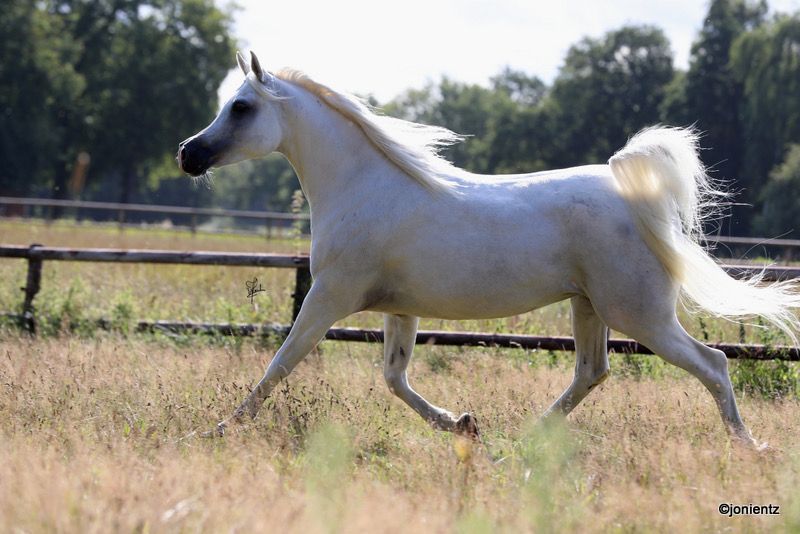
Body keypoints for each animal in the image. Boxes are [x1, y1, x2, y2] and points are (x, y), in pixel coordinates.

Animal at [178, 51, 800, 448]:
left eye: (241, 107)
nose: (188, 154)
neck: (363, 187)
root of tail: (637, 198)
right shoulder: (400, 310)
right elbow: (395, 379)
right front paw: (464, 424)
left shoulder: (329, 297)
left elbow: (279, 364)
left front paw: (215, 431)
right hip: (590, 307)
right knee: (592, 373)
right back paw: (527, 437)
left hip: (639, 314)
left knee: (713, 364)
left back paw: (750, 447)